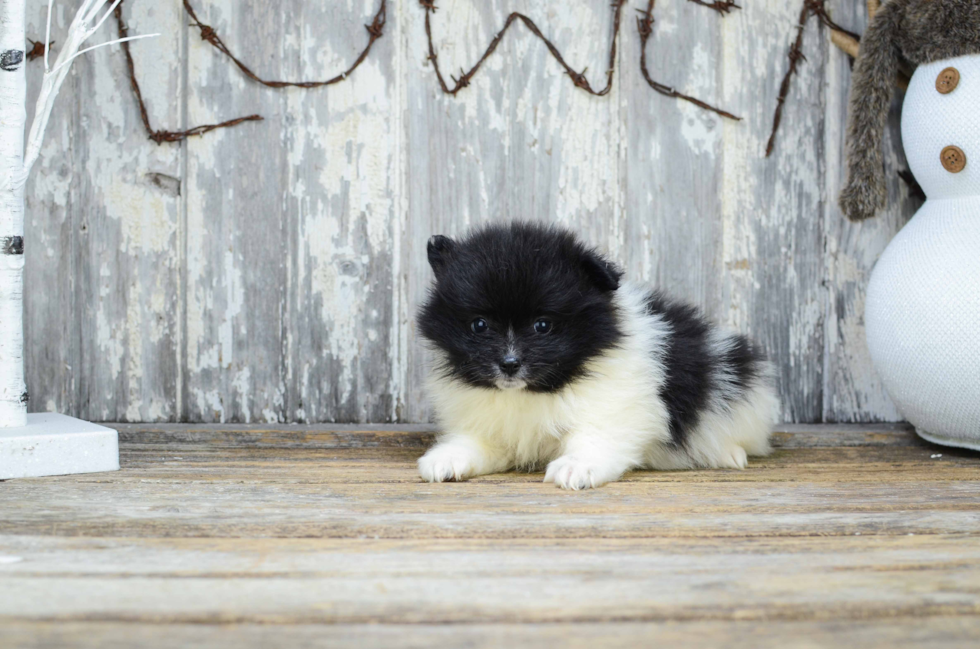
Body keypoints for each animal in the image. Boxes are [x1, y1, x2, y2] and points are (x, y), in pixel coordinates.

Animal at [418, 220, 776, 488]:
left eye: (542, 325)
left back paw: (729, 453)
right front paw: (448, 457)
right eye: (479, 325)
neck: (538, 390)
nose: (509, 364)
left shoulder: (619, 404)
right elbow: (478, 440)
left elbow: (597, 435)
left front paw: (577, 466)